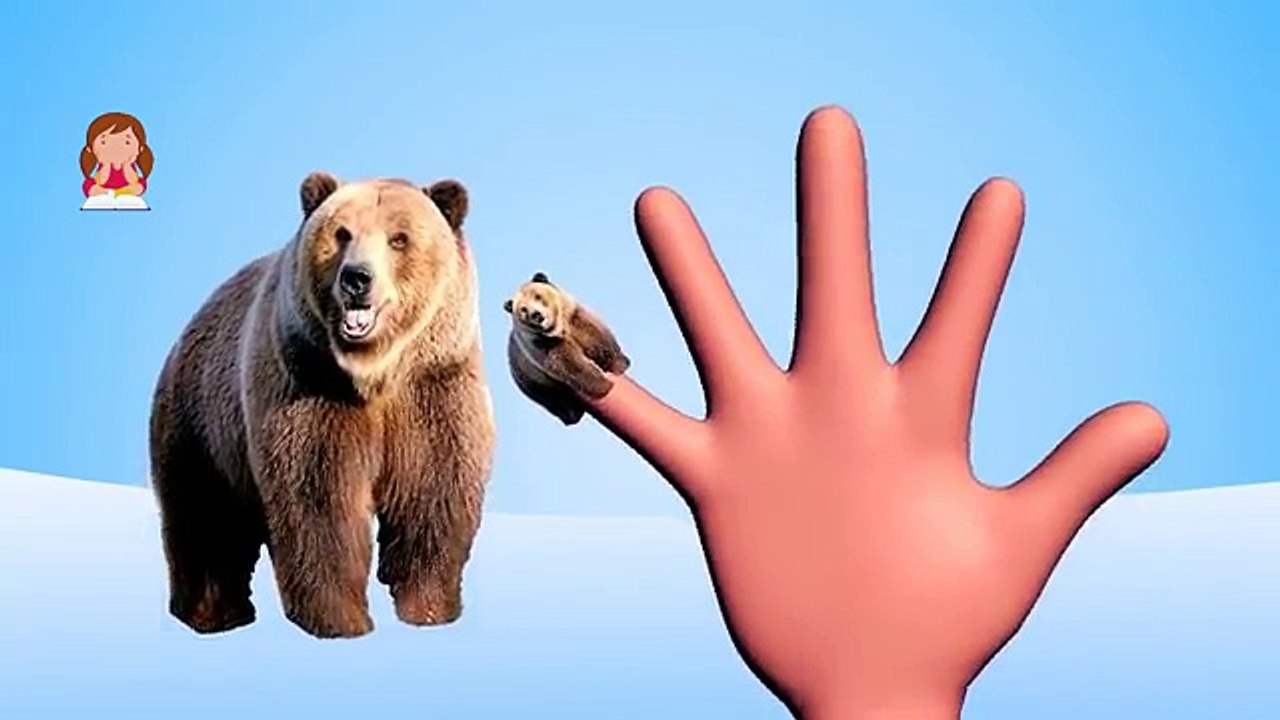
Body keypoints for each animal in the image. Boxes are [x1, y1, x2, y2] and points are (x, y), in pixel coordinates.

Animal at [148, 171, 496, 639]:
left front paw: (427, 607)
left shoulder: (434, 388)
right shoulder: (309, 386)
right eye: (342, 233)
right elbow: (319, 500)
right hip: (202, 422)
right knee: (205, 518)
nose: (357, 278)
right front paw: (341, 620)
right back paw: (214, 613)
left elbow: (432, 491)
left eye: (399, 238)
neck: (375, 374)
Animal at [503, 271, 630, 426]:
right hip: (530, 379)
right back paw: (571, 414)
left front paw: (617, 363)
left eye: (538, 296)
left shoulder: (573, 314)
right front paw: (603, 385)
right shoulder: (542, 345)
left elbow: (594, 334)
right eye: (523, 310)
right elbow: (567, 363)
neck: (557, 328)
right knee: (553, 399)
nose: (537, 316)